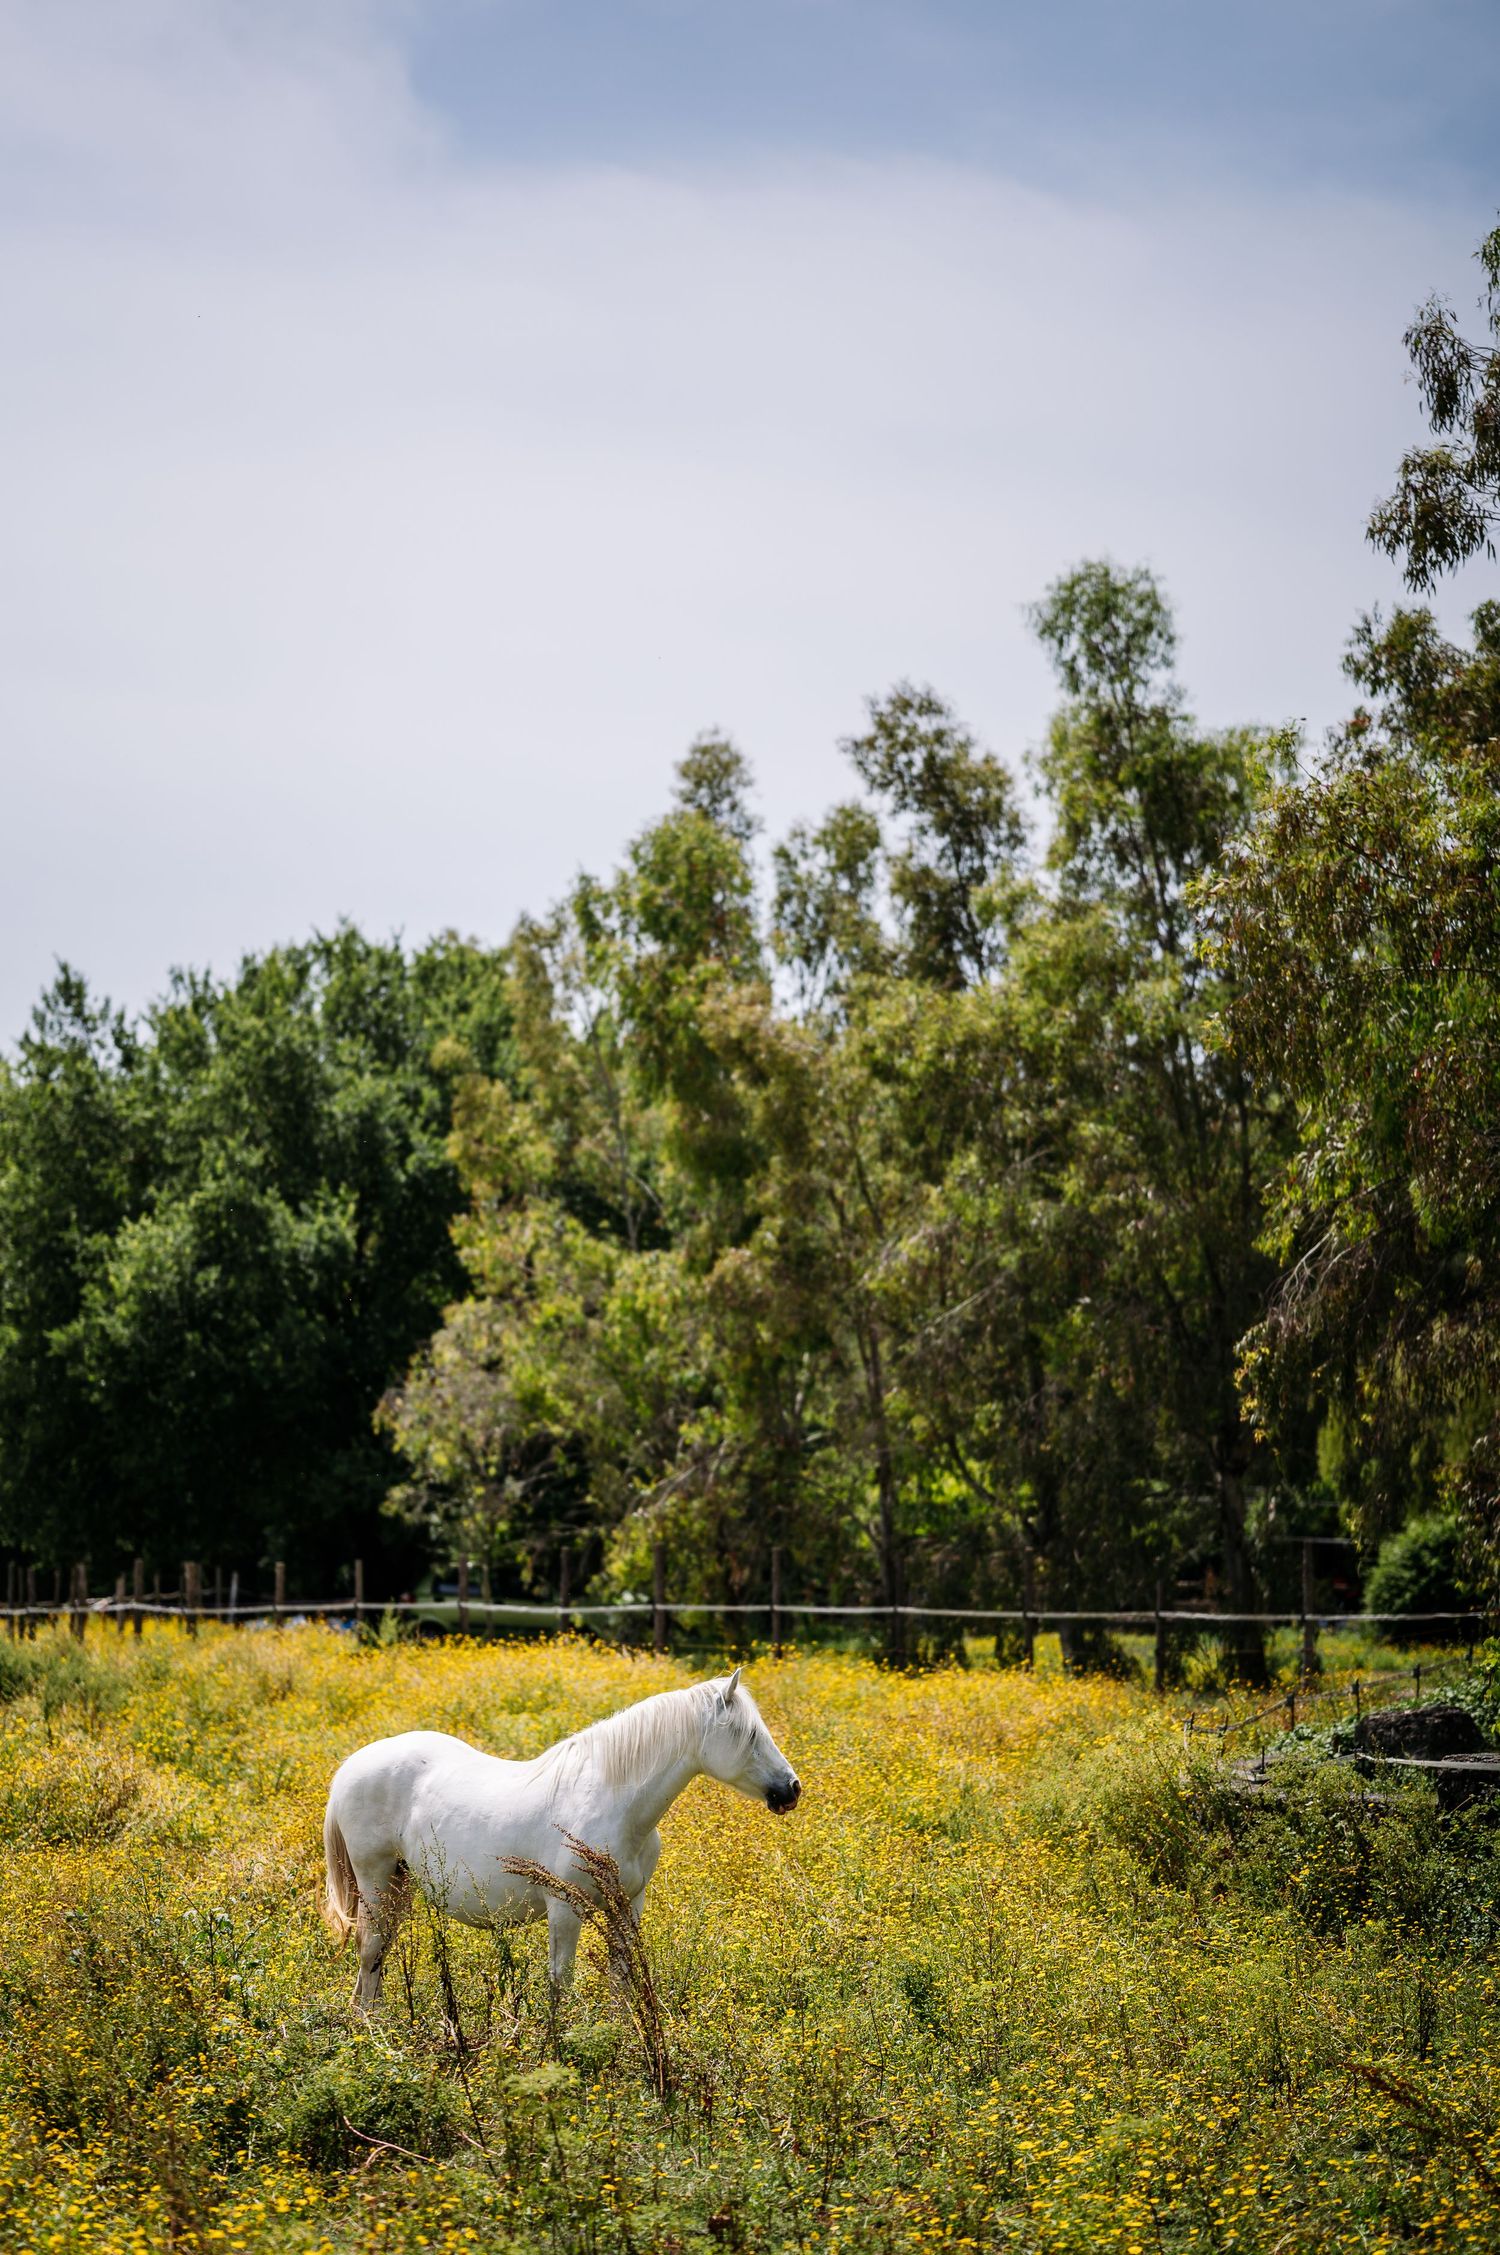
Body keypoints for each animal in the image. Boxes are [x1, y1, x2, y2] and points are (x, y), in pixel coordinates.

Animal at [322, 1667, 801, 2010]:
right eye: (750, 1735)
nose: (792, 1789)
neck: (613, 1802)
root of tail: (349, 1767)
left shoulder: (628, 1906)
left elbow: (621, 1979)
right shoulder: (565, 1909)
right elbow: (560, 1983)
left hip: (399, 1883)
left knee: (378, 1952)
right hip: (375, 1881)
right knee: (370, 1949)